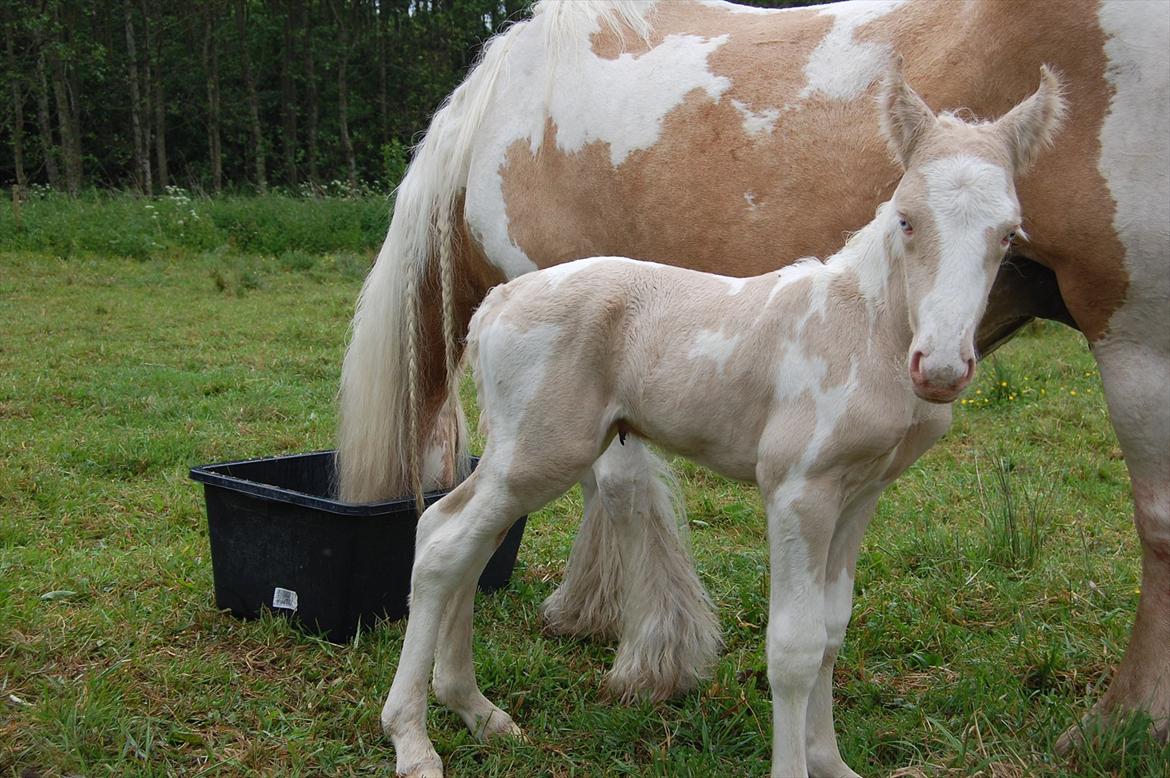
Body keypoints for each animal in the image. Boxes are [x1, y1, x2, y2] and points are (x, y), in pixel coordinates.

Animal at [339, 0, 1169, 749]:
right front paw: (659, 660)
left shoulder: (857, 491)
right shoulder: (795, 487)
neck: (860, 321)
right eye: (905, 218)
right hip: (537, 451)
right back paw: (417, 738)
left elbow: (828, 629)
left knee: (457, 539)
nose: (940, 368)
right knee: (448, 542)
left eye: (1009, 235)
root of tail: (501, 304)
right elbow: (790, 642)